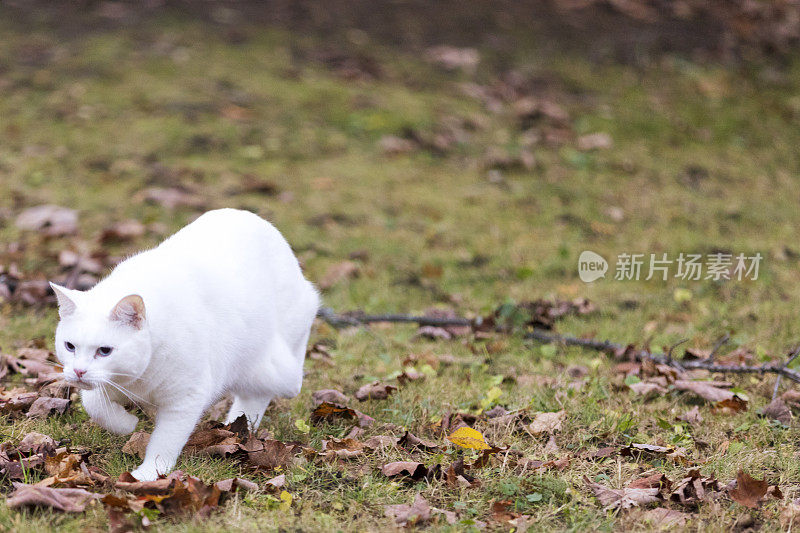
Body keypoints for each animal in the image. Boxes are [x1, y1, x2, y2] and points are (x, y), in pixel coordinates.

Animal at [48, 209, 318, 482]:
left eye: (104, 351)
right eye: (70, 346)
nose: (79, 371)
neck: (139, 379)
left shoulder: (186, 398)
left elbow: (164, 442)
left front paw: (149, 474)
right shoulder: (107, 385)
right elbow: (95, 406)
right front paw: (127, 424)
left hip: (278, 364)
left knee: (289, 374)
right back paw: (237, 427)